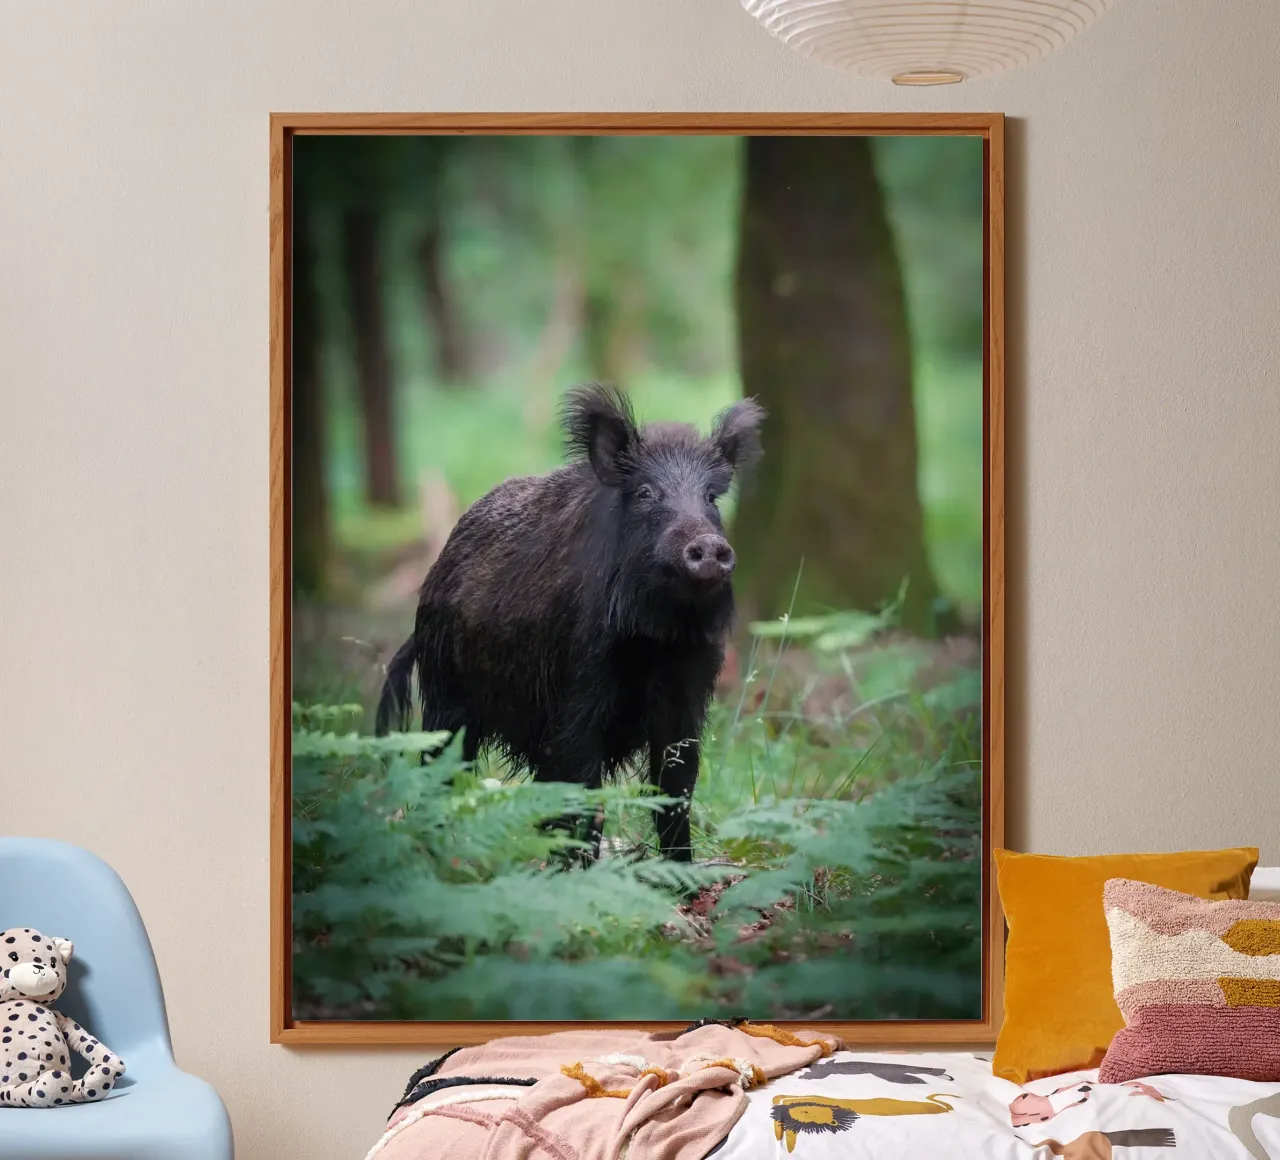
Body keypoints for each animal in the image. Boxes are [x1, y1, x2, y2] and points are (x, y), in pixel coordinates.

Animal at [375, 383, 765, 863]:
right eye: (645, 492)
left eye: (711, 497)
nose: (708, 545)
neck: (652, 641)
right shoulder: (573, 695)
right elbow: (582, 795)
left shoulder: (687, 696)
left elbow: (675, 790)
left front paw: (685, 876)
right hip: (445, 696)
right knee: (440, 770)